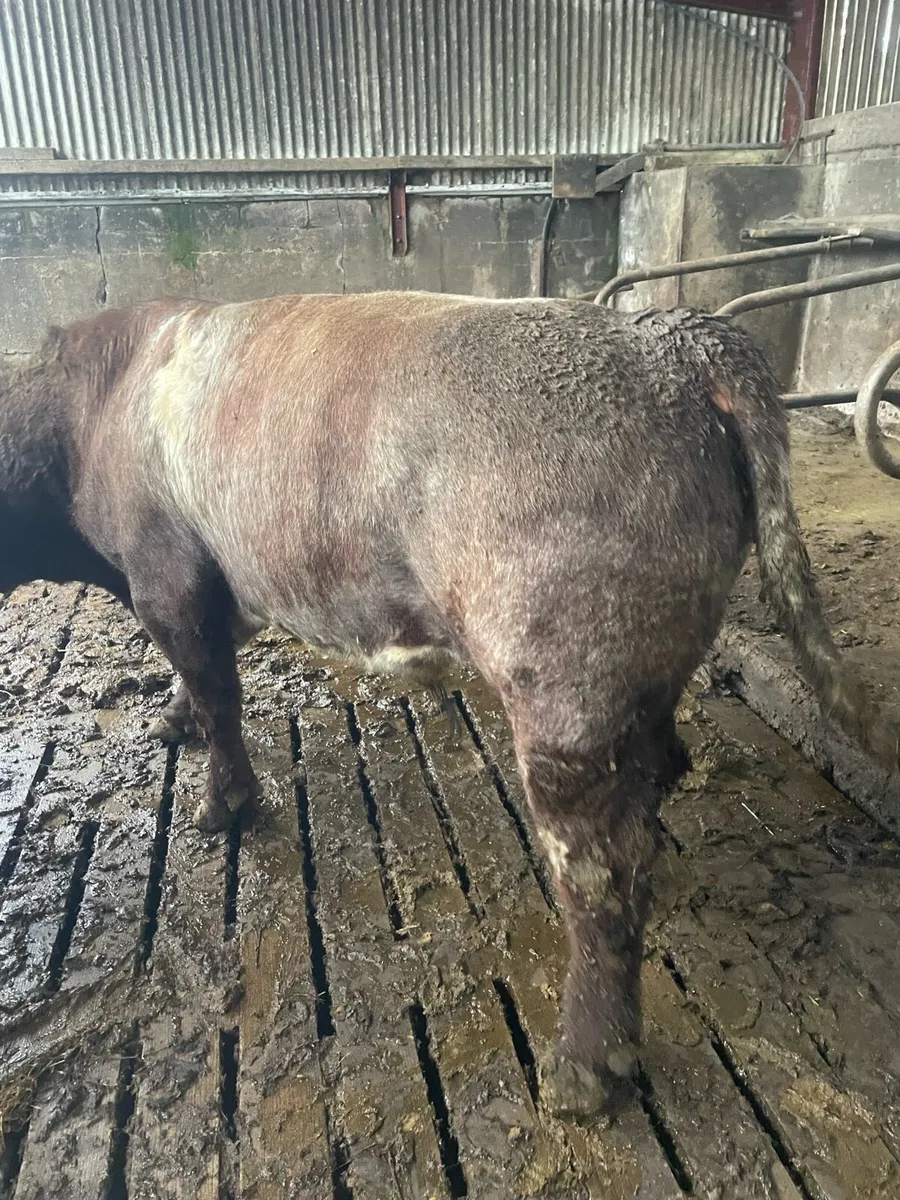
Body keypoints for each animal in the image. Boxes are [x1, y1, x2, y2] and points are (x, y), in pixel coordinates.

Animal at [0, 291, 894, 1122]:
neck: (92, 404)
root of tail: (668, 338)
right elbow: (200, 677)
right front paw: (174, 719)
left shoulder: (168, 573)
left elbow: (218, 692)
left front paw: (222, 803)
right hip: (638, 682)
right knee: (657, 780)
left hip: (565, 692)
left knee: (601, 874)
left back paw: (584, 1067)